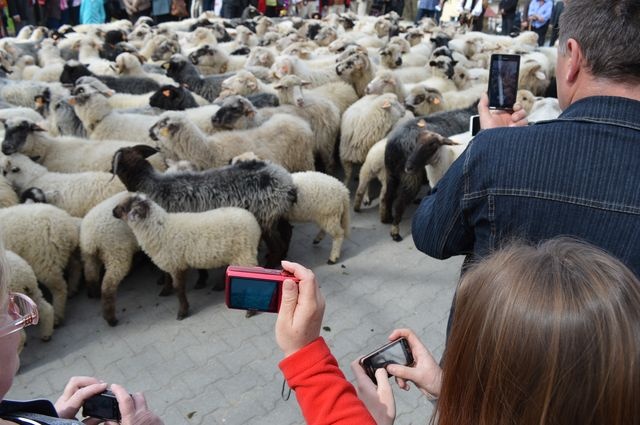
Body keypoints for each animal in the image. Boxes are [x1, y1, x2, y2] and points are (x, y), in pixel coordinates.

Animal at [110, 144, 298, 266]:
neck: (151, 183)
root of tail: (285, 180)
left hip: (266, 216)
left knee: (278, 243)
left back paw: (271, 264)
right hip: (276, 212)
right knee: (287, 232)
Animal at [112, 192, 260, 318]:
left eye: (124, 208)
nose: (113, 211)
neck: (160, 229)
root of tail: (253, 222)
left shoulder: (176, 264)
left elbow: (179, 289)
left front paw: (182, 312)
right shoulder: (171, 262)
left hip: (245, 253)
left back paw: (250, 311)